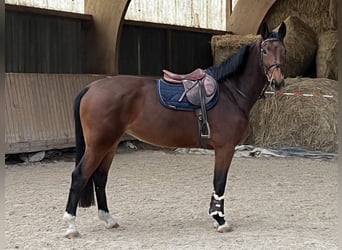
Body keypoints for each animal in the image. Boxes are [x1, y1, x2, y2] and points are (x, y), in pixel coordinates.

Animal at [63, 21, 286, 236]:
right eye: (264, 51)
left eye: (283, 50)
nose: (278, 82)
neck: (230, 93)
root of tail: (91, 87)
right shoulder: (225, 148)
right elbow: (219, 182)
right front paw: (220, 220)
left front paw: (216, 218)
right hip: (98, 145)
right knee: (79, 176)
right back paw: (71, 226)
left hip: (110, 144)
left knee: (100, 178)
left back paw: (108, 219)